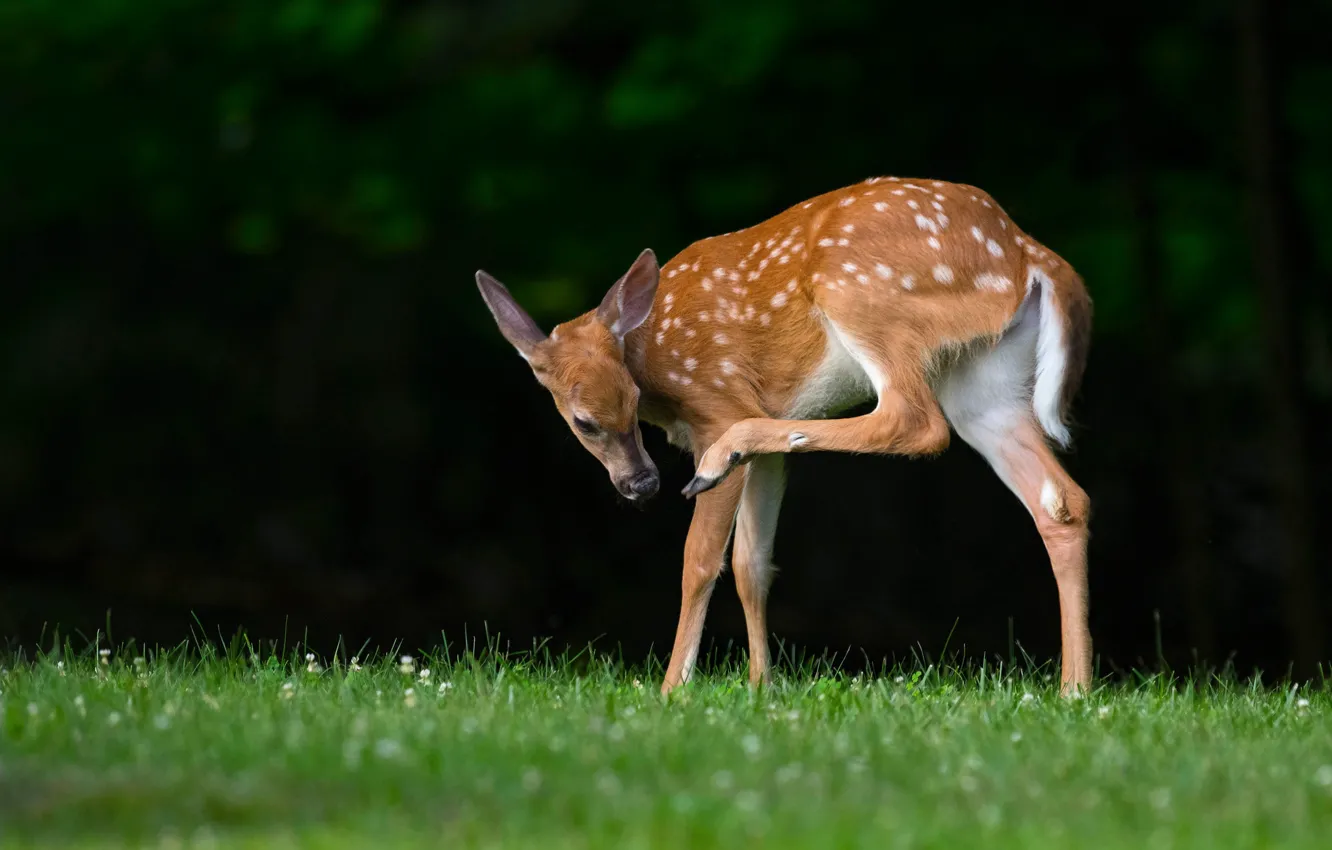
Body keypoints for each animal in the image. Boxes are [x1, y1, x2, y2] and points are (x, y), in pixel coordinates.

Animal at [476, 174, 1092, 698]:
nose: (641, 484)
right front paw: (761, 687)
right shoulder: (768, 459)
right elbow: (753, 566)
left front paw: (673, 689)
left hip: (863, 294)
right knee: (1061, 499)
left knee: (915, 422)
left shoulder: (719, 402)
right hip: (986, 383)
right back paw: (1074, 689)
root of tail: (1026, 250)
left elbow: (701, 559)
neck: (653, 352)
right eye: (583, 422)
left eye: (628, 400)